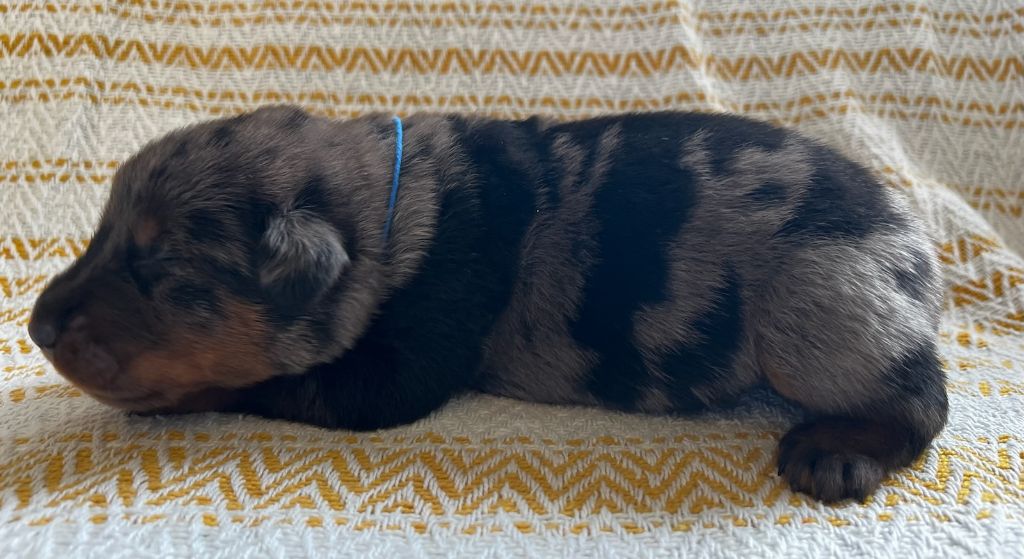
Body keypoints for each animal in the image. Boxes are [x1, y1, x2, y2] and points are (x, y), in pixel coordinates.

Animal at [28, 105, 947, 503]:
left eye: (156, 264)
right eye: (106, 235)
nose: (35, 325)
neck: (393, 209)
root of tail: (916, 246)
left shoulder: (398, 368)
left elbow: (268, 382)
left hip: (818, 302)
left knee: (923, 400)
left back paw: (835, 450)